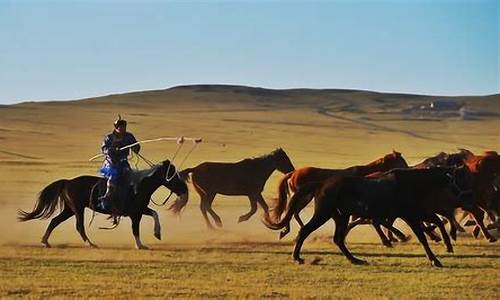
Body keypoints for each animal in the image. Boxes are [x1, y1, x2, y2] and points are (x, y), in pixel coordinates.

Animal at [18, 161, 188, 250]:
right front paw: (140, 245)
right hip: (77, 209)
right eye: (173, 175)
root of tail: (67, 182)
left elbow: (154, 214)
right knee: (79, 226)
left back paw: (45, 241)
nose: (184, 189)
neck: (139, 186)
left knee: (55, 221)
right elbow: (135, 229)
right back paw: (91, 243)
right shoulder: (135, 214)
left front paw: (157, 233)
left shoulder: (140, 210)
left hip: (70, 209)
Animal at [264, 166, 474, 268]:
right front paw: (435, 260)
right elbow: (422, 236)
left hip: (340, 216)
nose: (469, 196)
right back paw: (297, 257)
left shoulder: (416, 214)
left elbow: (431, 226)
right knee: (305, 230)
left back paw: (356, 260)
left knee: (338, 239)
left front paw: (443, 247)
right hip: (324, 213)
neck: (411, 184)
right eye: (460, 178)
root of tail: (321, 184)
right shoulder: (410, 215)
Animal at [272, 150, 408, 239]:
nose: (408, 169)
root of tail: (293, 173)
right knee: (294, 212)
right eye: (401, 161)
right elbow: (369, 220)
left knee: (293, 212)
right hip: (305, 197)